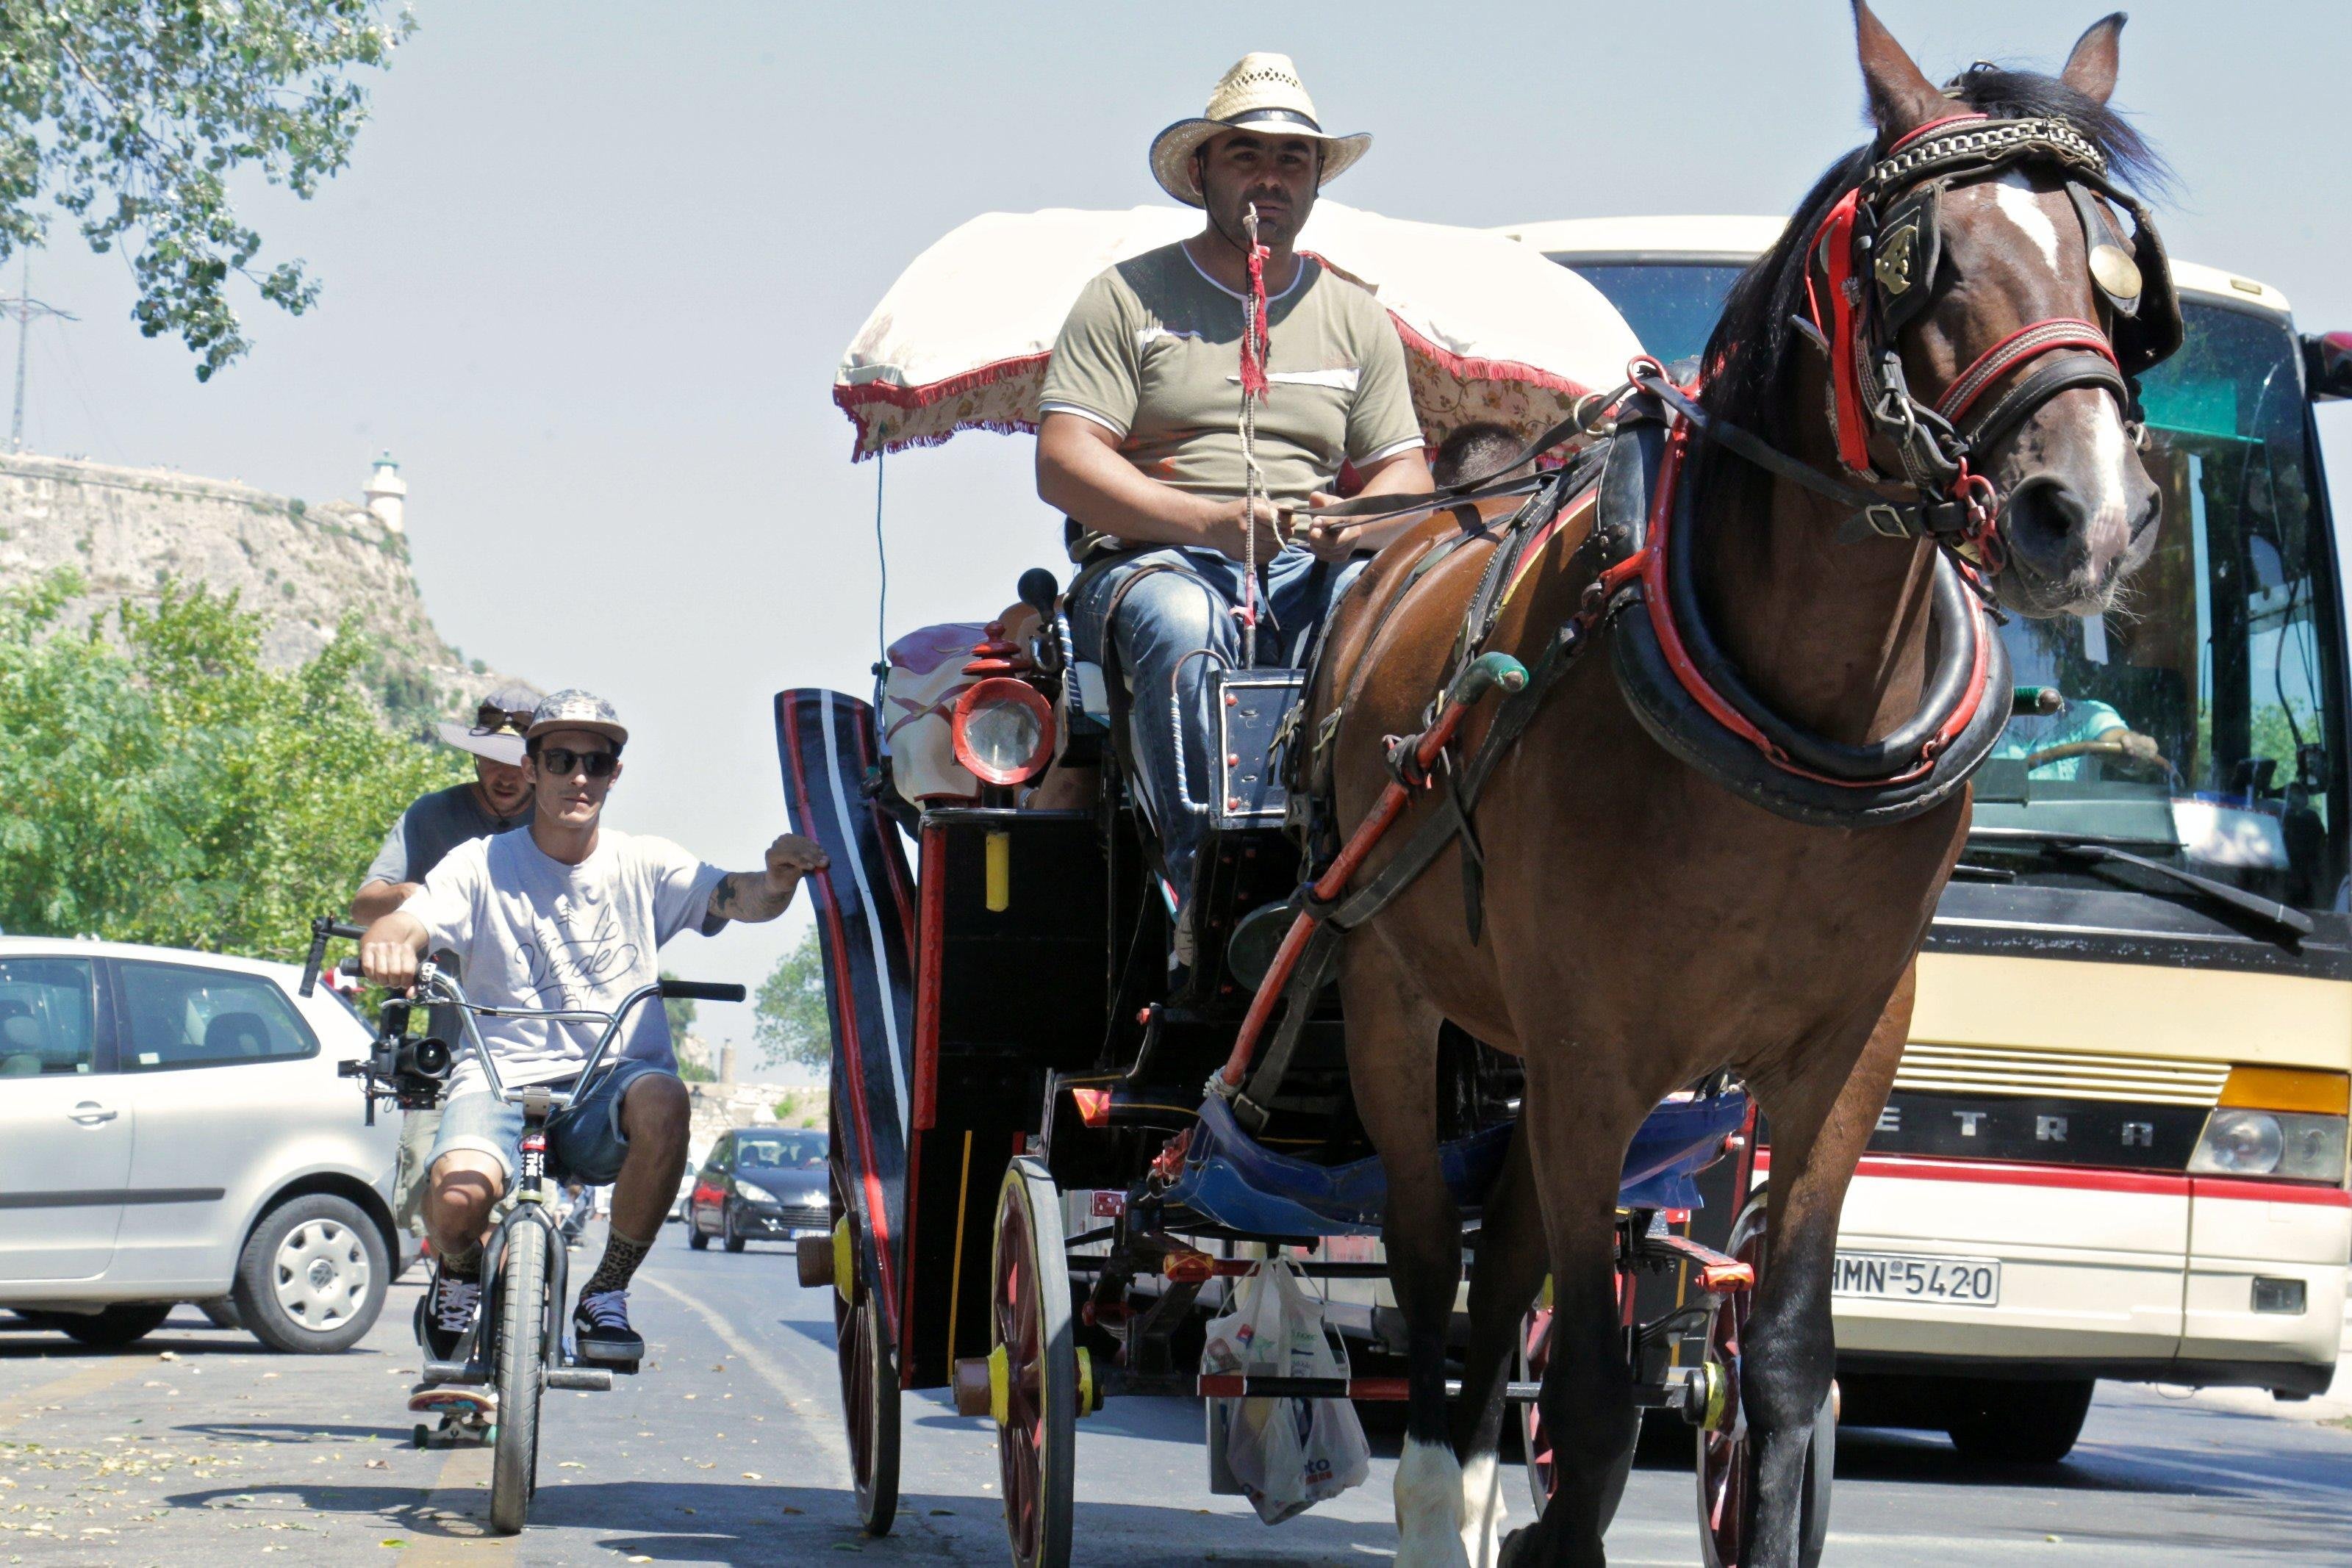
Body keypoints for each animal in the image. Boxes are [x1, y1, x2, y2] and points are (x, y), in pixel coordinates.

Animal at [1308, 6, 2164, 1561]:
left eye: (2109, 264)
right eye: (1921, 255)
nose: (2089, 514)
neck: (1795, 725)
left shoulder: (1840, 1053)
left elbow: (1779, 1365)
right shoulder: (1594, 1048)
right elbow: (1591, 1391)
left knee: (1502, 1248)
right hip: (1395, 993)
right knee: (1423, 1249)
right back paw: (1433, 1487)